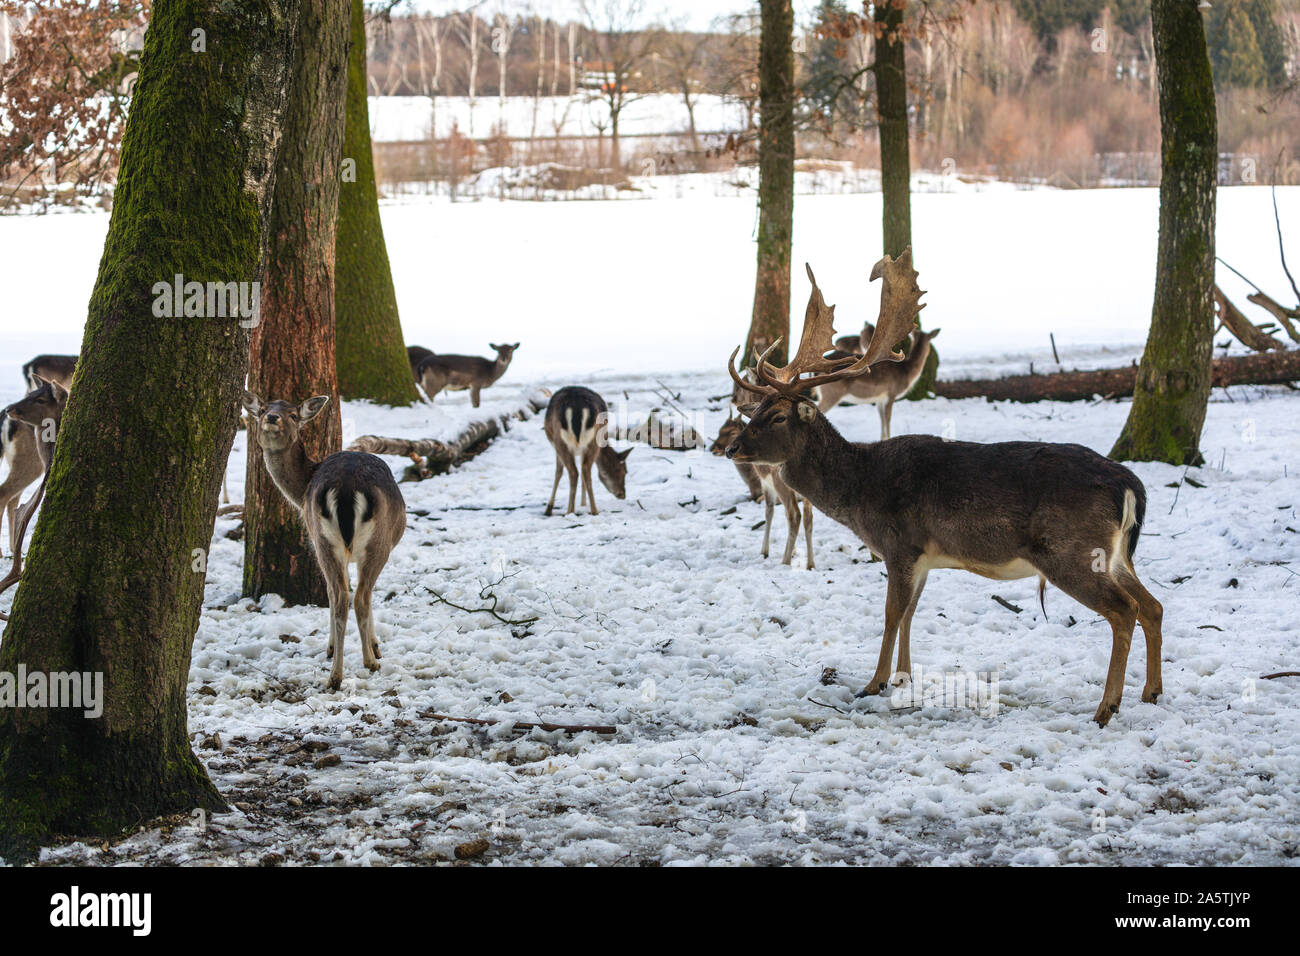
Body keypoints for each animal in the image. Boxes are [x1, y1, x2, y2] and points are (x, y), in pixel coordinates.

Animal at [243, 392, 405, 691]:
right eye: (261, 409)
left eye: (293, 415)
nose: (272, 417)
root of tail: (346, 488)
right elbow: (351, 594)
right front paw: (373, 647)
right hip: (375, 543)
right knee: (356, 596)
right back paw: (364, 664)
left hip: (324, 541)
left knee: (343, 595)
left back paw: (337, 674)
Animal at [543, 385, 634, 515]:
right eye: (623, 471)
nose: (622, 494)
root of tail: (576, 409)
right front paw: (583, 504)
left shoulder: (557, 446)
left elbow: (559, 472)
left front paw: (549, 509)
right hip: (589, 442)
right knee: (584, 470)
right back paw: (591, 510)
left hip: (561, 441)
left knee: (576, 471)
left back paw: (572, 511)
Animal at [728, 254, 1164, 723]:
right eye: (757, 408)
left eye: (777, 417)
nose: (732, 447)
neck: (860, 489)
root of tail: (1130, 485)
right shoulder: (925, 556)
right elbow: (910, 614)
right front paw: (903, 678)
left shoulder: (900, 544)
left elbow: (891, 614)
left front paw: (873, 683)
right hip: (1116, 554)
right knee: (1153, 606)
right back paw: (1151, 692)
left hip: (1070, 550)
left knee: (1125, 609)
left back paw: (1107, 707)